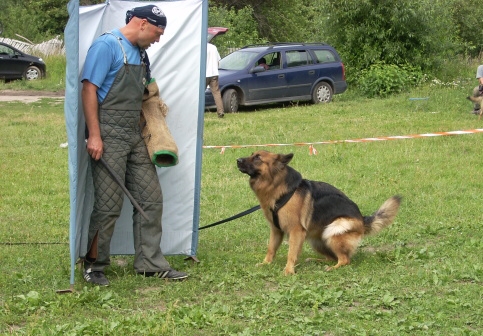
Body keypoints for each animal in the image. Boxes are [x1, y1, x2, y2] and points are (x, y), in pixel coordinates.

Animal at [237, 151, 400, 274]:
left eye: (257, 157)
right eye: (252, 154)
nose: (237, 160)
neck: (279, 187)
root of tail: (362, 219)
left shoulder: (296, 231)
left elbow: (291, 253)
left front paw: (289, 270)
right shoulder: (276, 230)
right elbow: (271, 249)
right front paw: (266, 263)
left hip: (334, 229)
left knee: (344, 260)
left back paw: (333, 268)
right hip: (317, 240)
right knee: (332, 257)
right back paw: (316, 261)